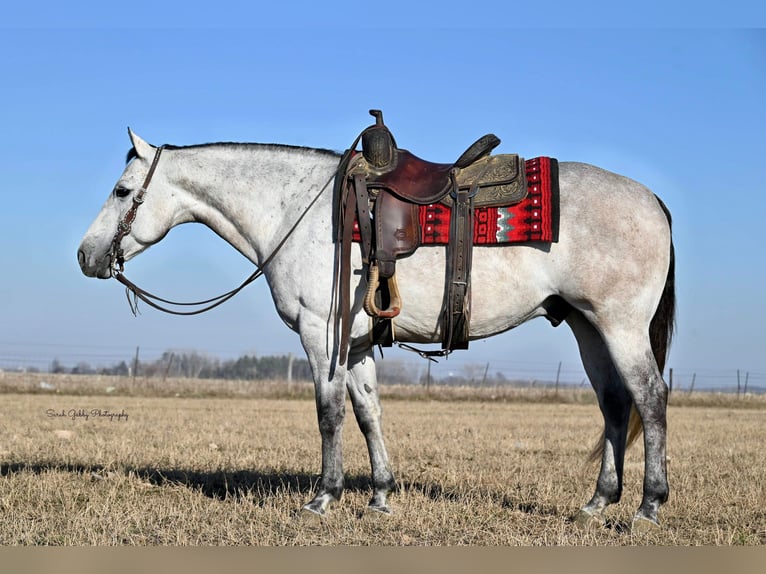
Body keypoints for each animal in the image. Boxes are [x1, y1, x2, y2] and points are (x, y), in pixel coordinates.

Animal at [79, 128, 680, 532]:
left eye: (121, 190)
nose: (86, 255)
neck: (299, 211)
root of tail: (652, 199)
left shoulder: (321, 334)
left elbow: (329, 414)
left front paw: (324, 497)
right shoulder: (359, 342)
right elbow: (369, 413)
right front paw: (380, 497)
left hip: (621, 326)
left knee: (650, 398)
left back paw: (648, 506)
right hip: (587, 327)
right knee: (614, 404)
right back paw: (596, 504)